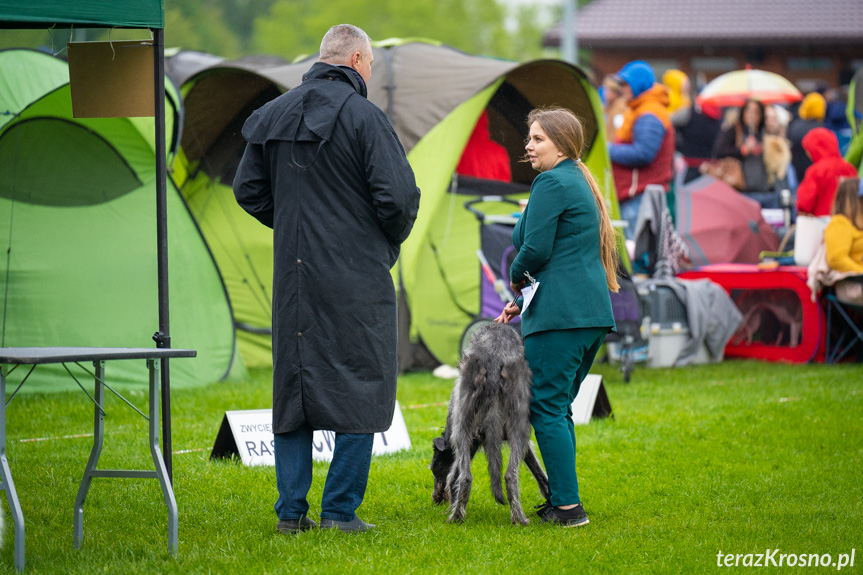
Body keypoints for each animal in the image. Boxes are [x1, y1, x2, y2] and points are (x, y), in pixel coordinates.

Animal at [432, 324, 552, 528]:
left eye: (433, 469)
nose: (435, 499)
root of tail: (494, 358)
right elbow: (539, 472)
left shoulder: (468, 441)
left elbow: (453, 476)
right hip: (517, 425)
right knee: (508, 475)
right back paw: (518, 518)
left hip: (464, 425)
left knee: (467, 477)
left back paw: (457, 517)